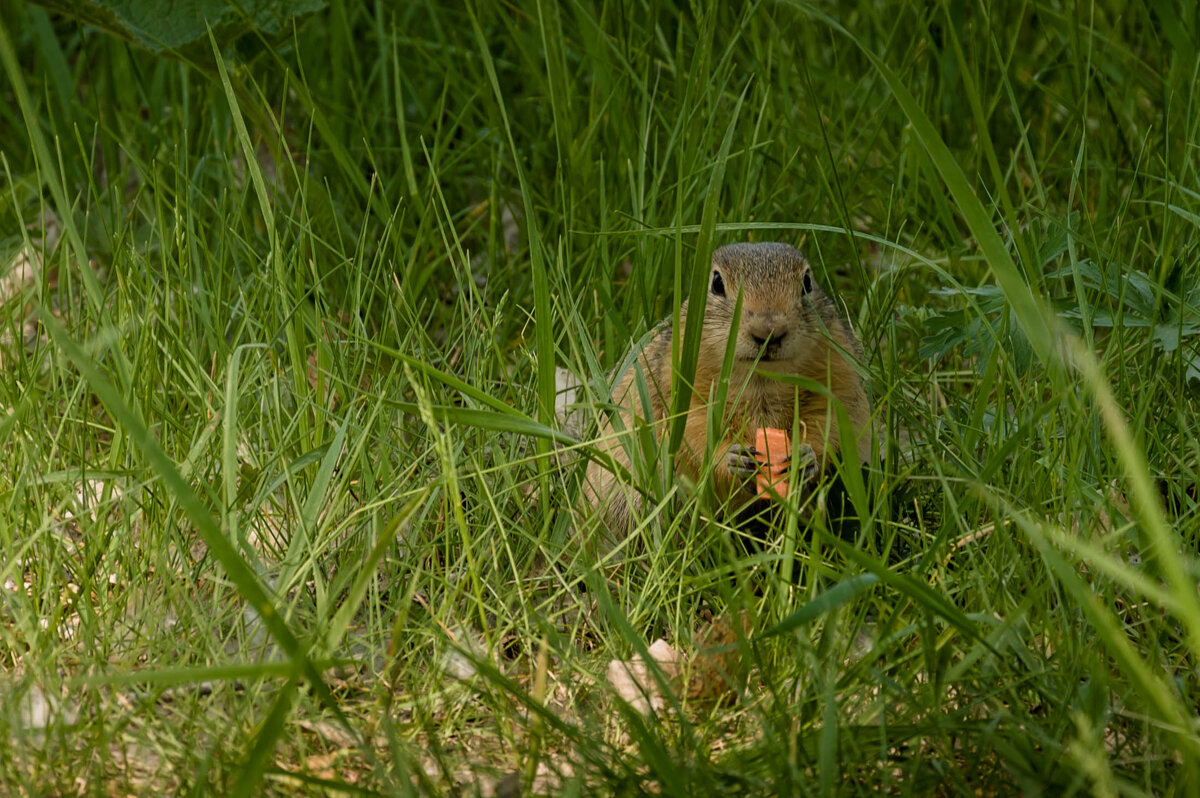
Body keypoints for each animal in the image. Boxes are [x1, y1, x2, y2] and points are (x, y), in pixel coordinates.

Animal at [583, 240, 873, 532]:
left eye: (807, 282)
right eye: (716, 283)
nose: (768, 330)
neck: (762, 381)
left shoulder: (840, 378)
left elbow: (830, 425)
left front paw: (806, 457)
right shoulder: (677, 386)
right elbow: (694, 433)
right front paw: (731, 458)